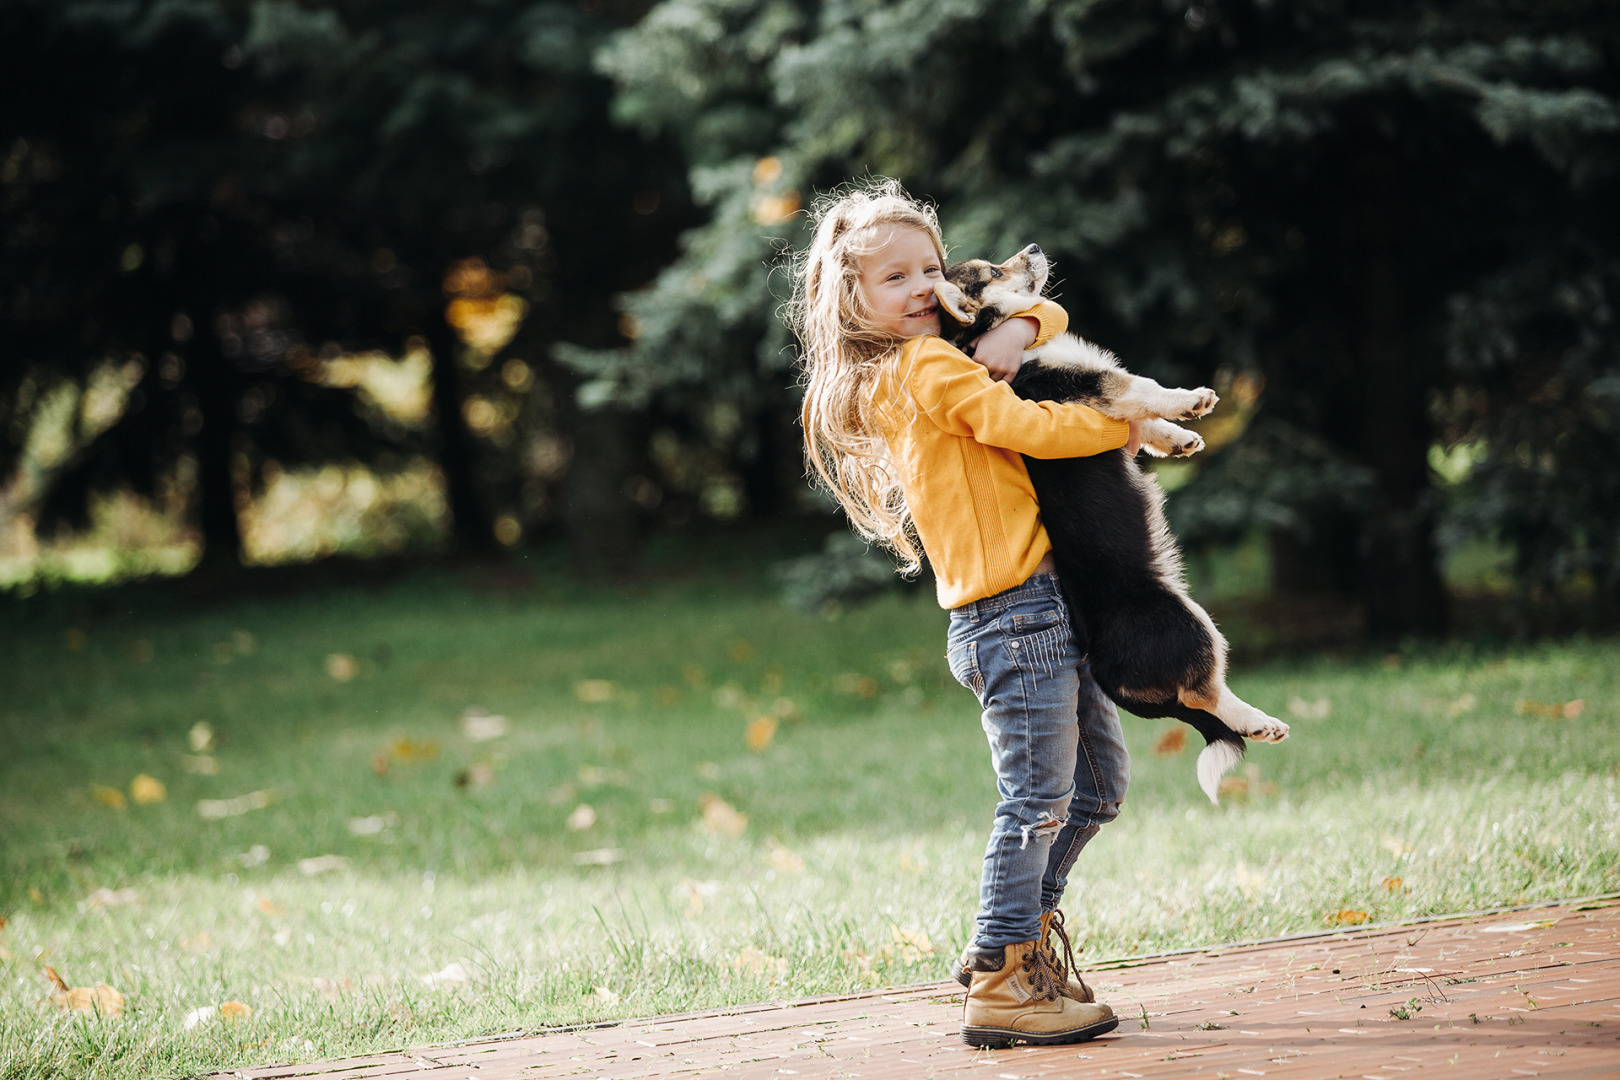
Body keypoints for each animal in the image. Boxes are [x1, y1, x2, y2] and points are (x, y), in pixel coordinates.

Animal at [933, 244, 1283, 803]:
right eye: (991, 271)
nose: (1034, 247)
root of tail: (1106, 671)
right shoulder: (1093, 388)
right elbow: (1141, 386)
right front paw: (1190, 400)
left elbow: (1144, 418)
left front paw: (1179, 440)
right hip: (1191, 622)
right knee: (1204, 692)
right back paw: (1259, 721)